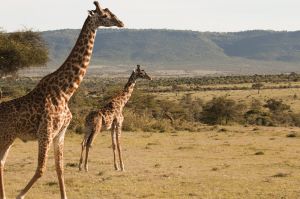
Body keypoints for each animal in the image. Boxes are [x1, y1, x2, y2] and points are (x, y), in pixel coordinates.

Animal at [0, 1, 123, 199]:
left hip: (9, 138)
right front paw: (20, 195)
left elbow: (60, 169)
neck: (65, 92)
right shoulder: (46, 131)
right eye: (104, 15)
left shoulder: (60, 132)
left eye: (112, 13)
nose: (121, 22)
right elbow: (41, 169)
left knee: (1, 163)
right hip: (6, 136)